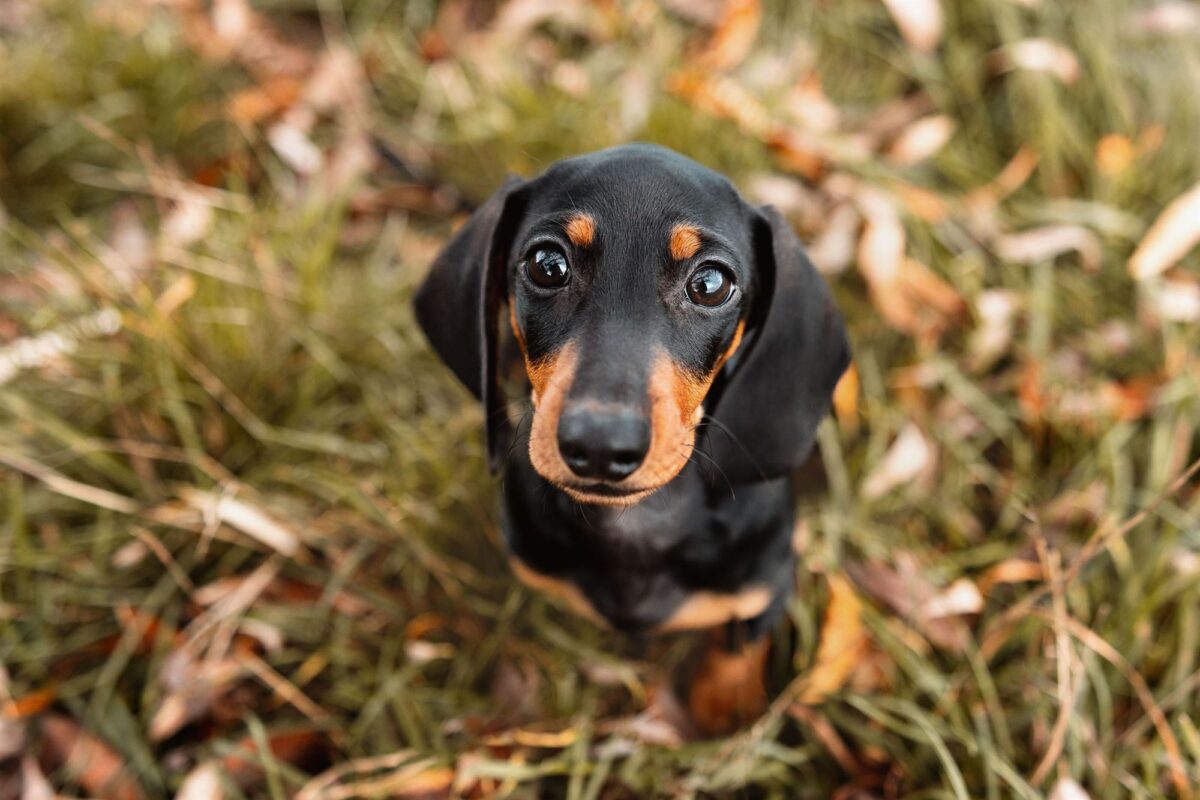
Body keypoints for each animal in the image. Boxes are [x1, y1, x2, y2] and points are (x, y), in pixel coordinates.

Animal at [417, 143, 849, 734]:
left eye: (710, 284)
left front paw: (726, 711)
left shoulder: (766, 583)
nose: (600, 446)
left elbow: (737, 646)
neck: (640, 524)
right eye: (547, 264)